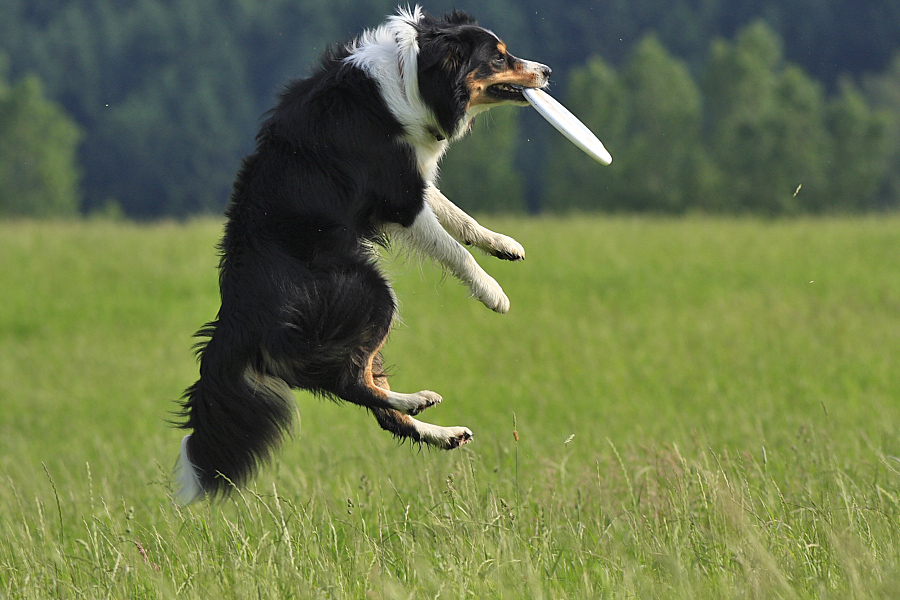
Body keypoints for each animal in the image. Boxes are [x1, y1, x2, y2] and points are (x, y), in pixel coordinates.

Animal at [173, 5, 552, 502]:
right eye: (499, 57)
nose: (547, 71)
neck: (411, 76)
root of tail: (236, 316)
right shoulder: (398, 196)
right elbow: (453, 249)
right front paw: (492, 293)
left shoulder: (413, 179)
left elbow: (460, 218)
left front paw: (503, 244)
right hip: (367, 292)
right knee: (352, 382)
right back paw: (418, 399)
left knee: (378, 408)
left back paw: (443, 432)